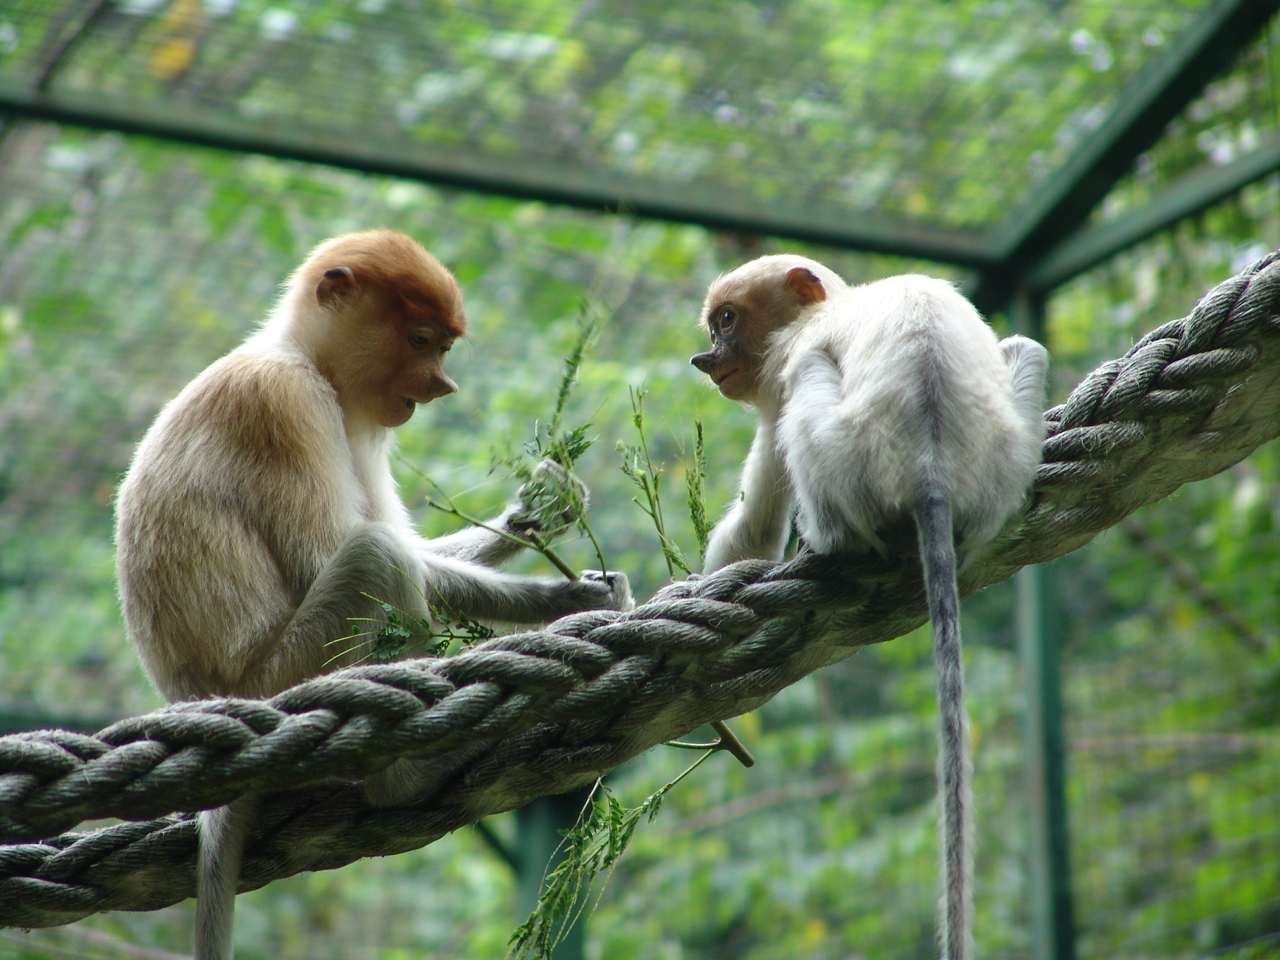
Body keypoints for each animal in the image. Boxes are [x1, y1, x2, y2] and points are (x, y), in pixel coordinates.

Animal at [115, 229, 631, 960]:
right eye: (420, 340)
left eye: (443, 347)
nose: (442, 385)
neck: (299, 352)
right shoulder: (283, 403)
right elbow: (336, 551)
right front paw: (562, 600)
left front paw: (544, 516)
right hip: (285, 677)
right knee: (375, 559)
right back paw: (404, 776)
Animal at [691, 254, 1047, 960]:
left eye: (727, 321)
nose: (708, 355)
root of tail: (933, 471)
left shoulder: (780, 372)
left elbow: (753, 530)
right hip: (1005, 464)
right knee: (1028, 350)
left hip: (845, 455)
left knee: (812, 387)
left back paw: (824, 541)